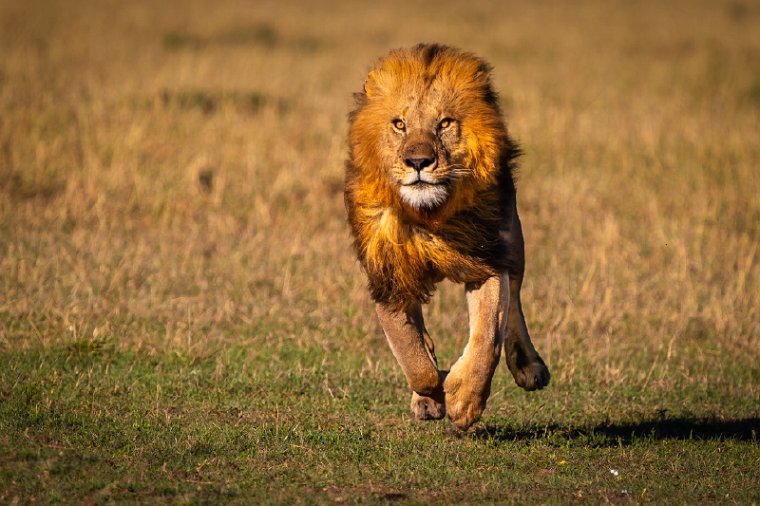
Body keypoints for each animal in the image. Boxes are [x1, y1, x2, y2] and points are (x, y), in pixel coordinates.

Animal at [346, 44, 552, 430]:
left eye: (444, 123)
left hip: (512, 240)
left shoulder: (487, 261)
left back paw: (529, 367)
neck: (429, 214)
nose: (418, 162)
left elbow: (488, 336)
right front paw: (433, 389)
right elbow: (412, 356)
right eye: (399, 124)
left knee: (515, 302)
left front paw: (464, 401)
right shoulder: (389, 277)